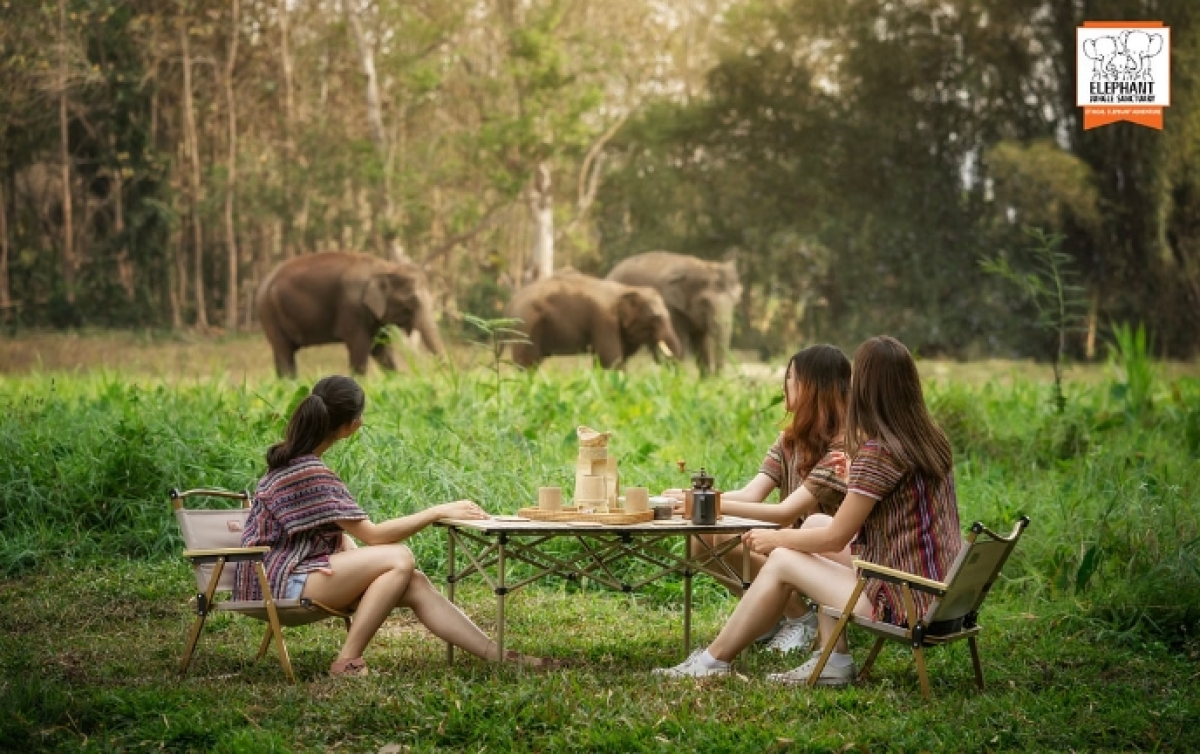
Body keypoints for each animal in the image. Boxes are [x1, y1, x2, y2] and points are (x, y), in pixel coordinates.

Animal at [256, 251, 444, 378]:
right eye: (412, 300)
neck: (385, 267)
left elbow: (381, 348)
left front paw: (394, 379)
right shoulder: (352, 308)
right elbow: (360, 347)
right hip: (269, 313)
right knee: (285, 353)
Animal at [503, 272, 683, 369]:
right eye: (656, 317)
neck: (627, 289)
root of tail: (511, 302)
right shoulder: (604, 320)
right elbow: (611, 360)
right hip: (526, 328)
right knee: (527, 364)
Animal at [606, 252, 742, 375]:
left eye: (736, 300)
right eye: (705, 302)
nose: (718, 377)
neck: (699, 265)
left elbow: (702, 344)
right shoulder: (670, 308)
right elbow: (679, 343)